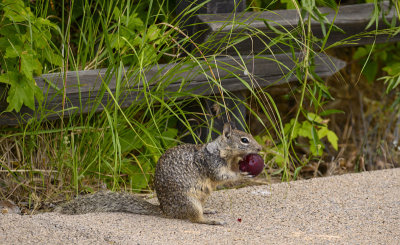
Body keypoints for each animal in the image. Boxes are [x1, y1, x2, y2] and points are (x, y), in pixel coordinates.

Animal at [56, 123, 262, 225]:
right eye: (244, 140)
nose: (260, 148)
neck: (223, 152)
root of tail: (166, 211)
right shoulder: (211, 164)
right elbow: (222, 177)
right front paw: (243, 175)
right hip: (189, 201)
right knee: (195, 219)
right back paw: (211, 220)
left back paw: (209, 210)